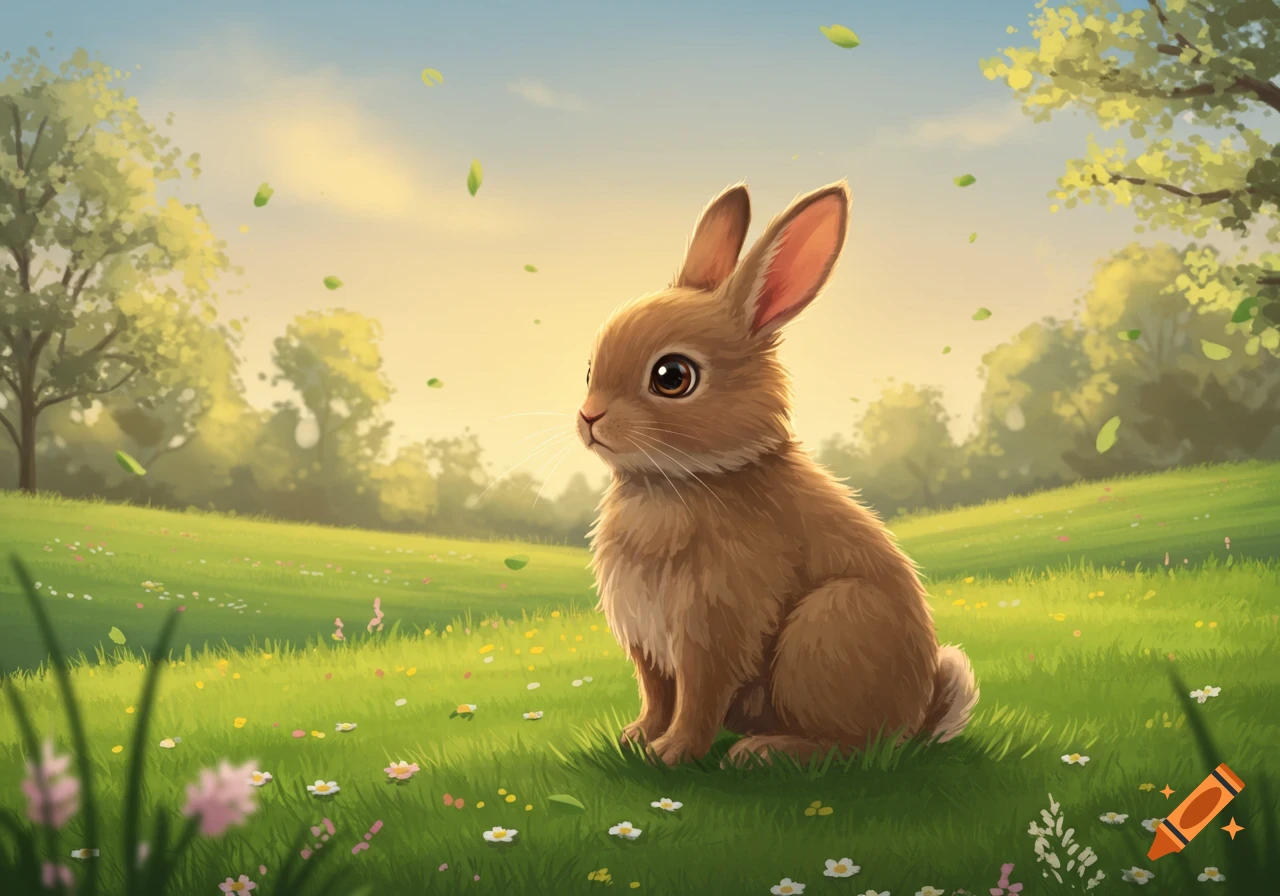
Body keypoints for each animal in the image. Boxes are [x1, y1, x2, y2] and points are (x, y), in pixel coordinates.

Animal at [575, 179, 979, 767]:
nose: (588, 418)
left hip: (828, 629)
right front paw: (636, 738)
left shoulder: (716, 627)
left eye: (672, 376)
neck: (686, 478)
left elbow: (698, 698)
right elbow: (657, 694)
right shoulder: (647, 641)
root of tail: (915, 718)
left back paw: (763, 751)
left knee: (851, 747)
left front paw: (671, 753)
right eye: (589, 370)